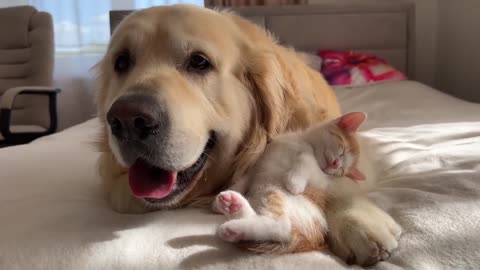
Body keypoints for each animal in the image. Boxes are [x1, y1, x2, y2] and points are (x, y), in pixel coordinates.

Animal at [214, 111, 368, 253]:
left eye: (341, 171)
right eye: (342, 150)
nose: (336, 164)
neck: (303, 142)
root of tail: (314, 240)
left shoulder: (320, 179)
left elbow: (306, 158)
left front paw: (294, 183)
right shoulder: (258, 165)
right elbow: (244, 180)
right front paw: (217, 202)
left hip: (273, 191)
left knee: (282, 227)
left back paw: (233, 225)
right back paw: (232, 206)